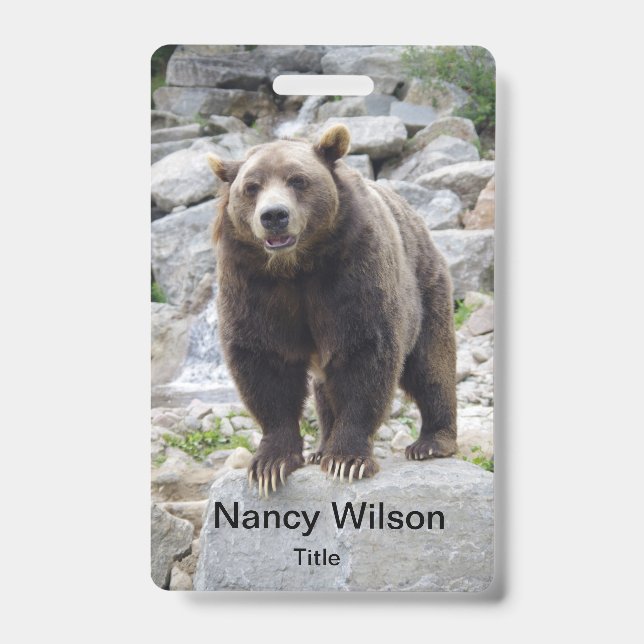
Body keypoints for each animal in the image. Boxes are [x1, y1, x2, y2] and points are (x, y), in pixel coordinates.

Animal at [206, 124, 457, 496]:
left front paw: (346, 459)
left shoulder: (351, 269)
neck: (296, 267)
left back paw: (432, 442)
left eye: (298, 180)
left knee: (431, 364)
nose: (274, 216)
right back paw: (320, 447)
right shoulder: (252, 282)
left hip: (426, 287)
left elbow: (363, 352)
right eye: (251, 187)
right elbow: (264, 361)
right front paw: (270, 464)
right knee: (324, 388)